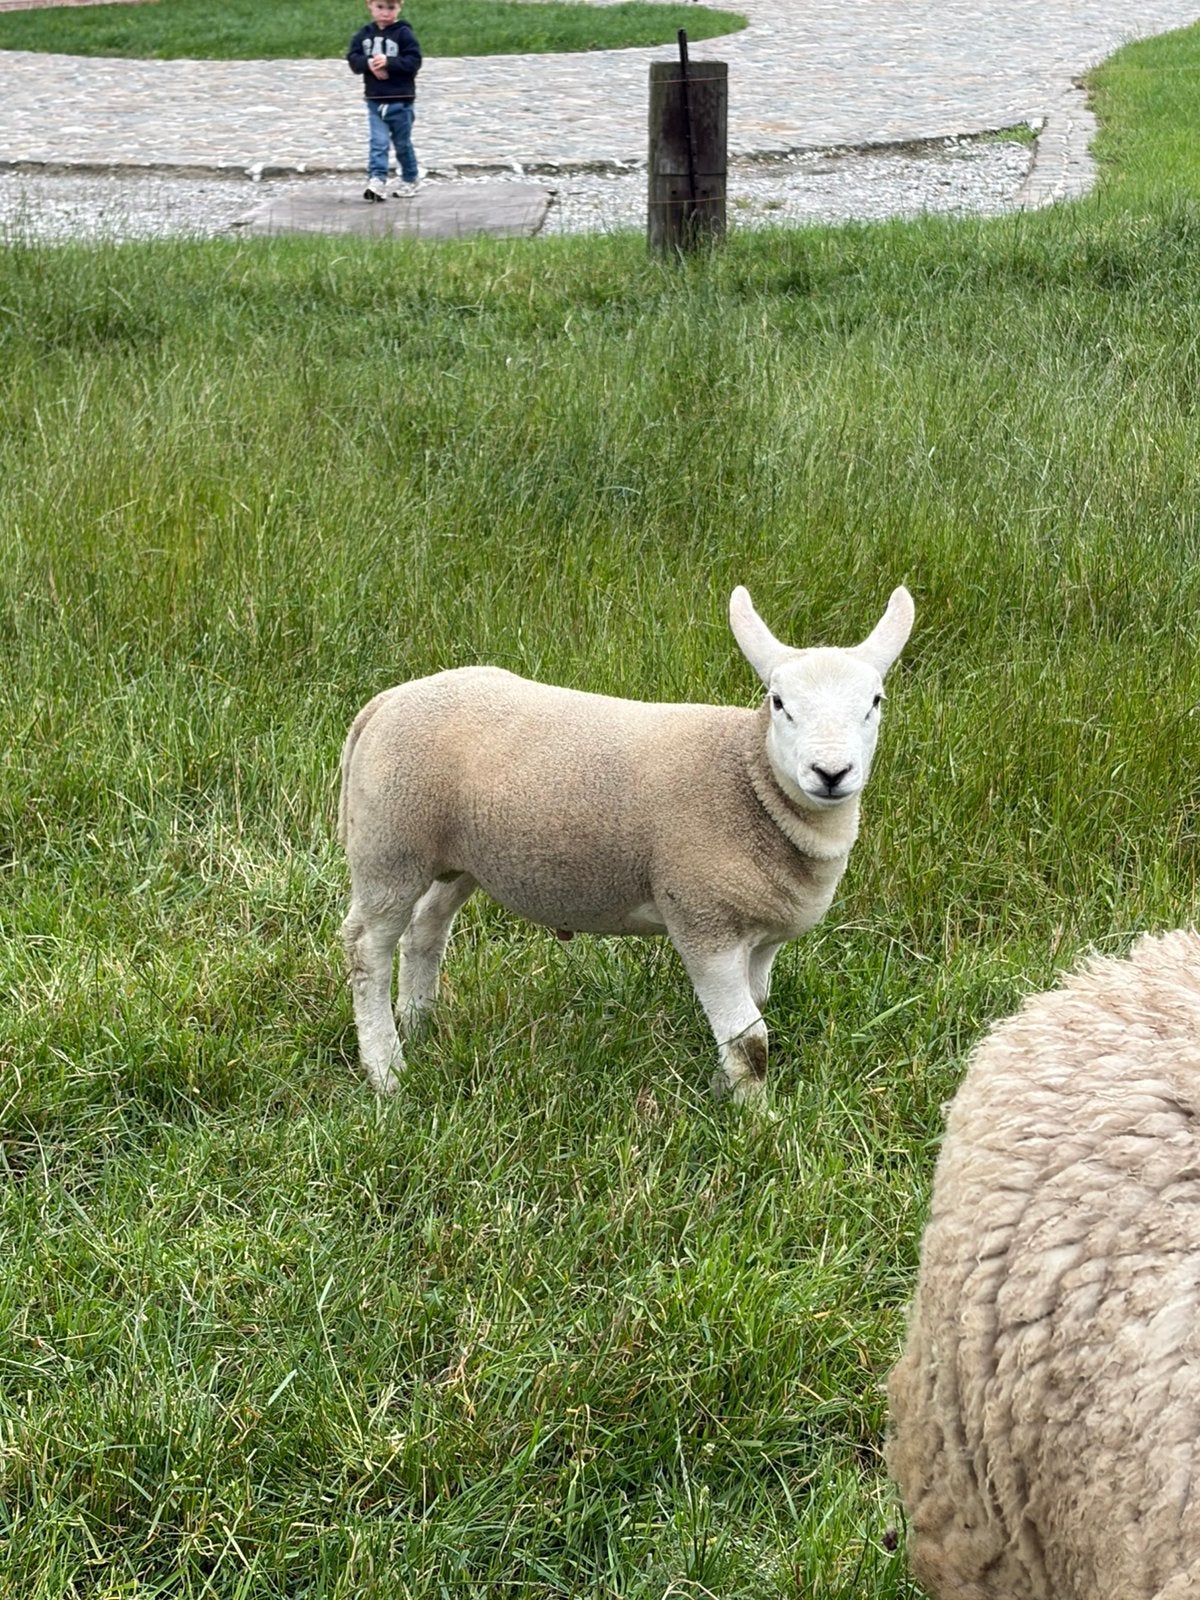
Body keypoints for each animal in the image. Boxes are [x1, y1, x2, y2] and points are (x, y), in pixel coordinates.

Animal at [337, 583, 914, 1101]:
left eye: (875, 702)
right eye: (778, 703)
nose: (831, 773)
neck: (751, 782)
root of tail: (388, 700)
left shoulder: (762, 937)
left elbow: (750, 1018)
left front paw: (723, 1090)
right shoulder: (703, 921)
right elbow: (751, 1041)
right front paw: (756, 1122)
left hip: (461, 858)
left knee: (425, 929)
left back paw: (419, 1024)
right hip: (390, 846)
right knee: (368, 949)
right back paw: (387, 1069)